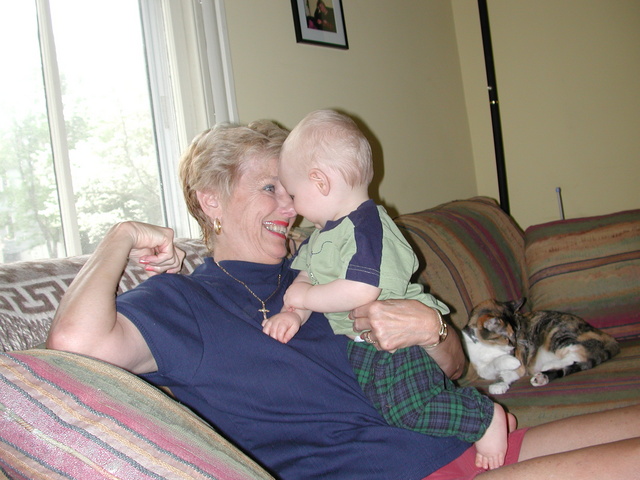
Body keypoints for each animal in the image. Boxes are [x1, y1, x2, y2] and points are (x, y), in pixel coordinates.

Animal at [461, 298, 620, 395]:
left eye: (517, 333)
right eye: (507, 337)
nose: (515, 347)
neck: (486, 347)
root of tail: (606, 336)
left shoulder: (520, 365)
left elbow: (507, 369)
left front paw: (498, 383)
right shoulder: (479, 367)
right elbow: (488, 368)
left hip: (558, 334)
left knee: (576, 354)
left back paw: (548, 366)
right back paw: (541, 378)